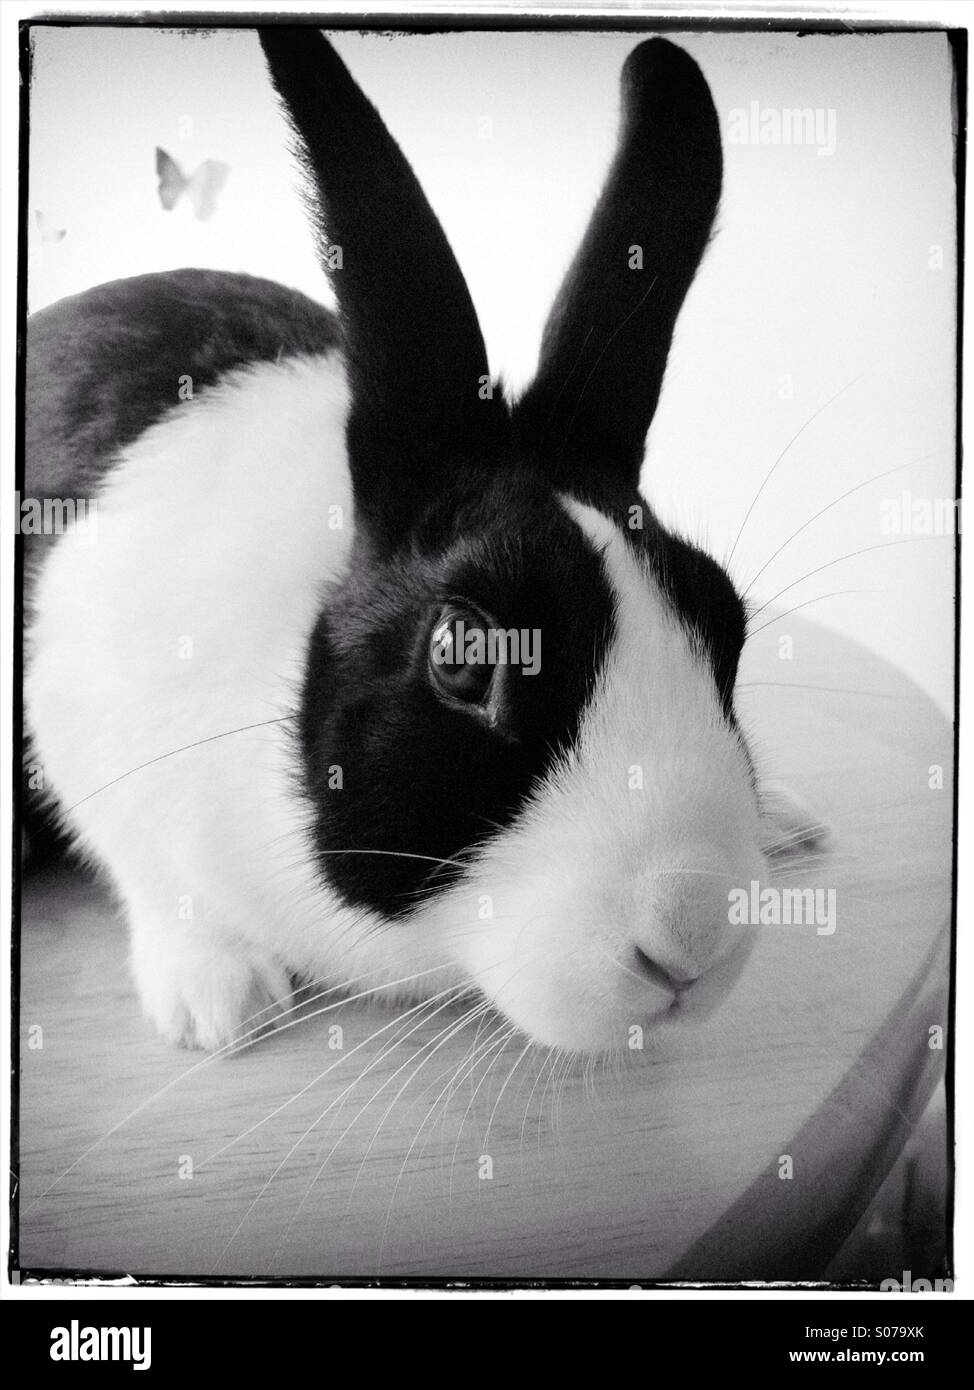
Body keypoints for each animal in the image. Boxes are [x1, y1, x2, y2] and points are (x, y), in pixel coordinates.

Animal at [24, 28, 781, 1056]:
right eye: (463, 656)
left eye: (724, 621)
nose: (692, 944)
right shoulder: (77, 704)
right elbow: (150, 869)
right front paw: (222, 1005)